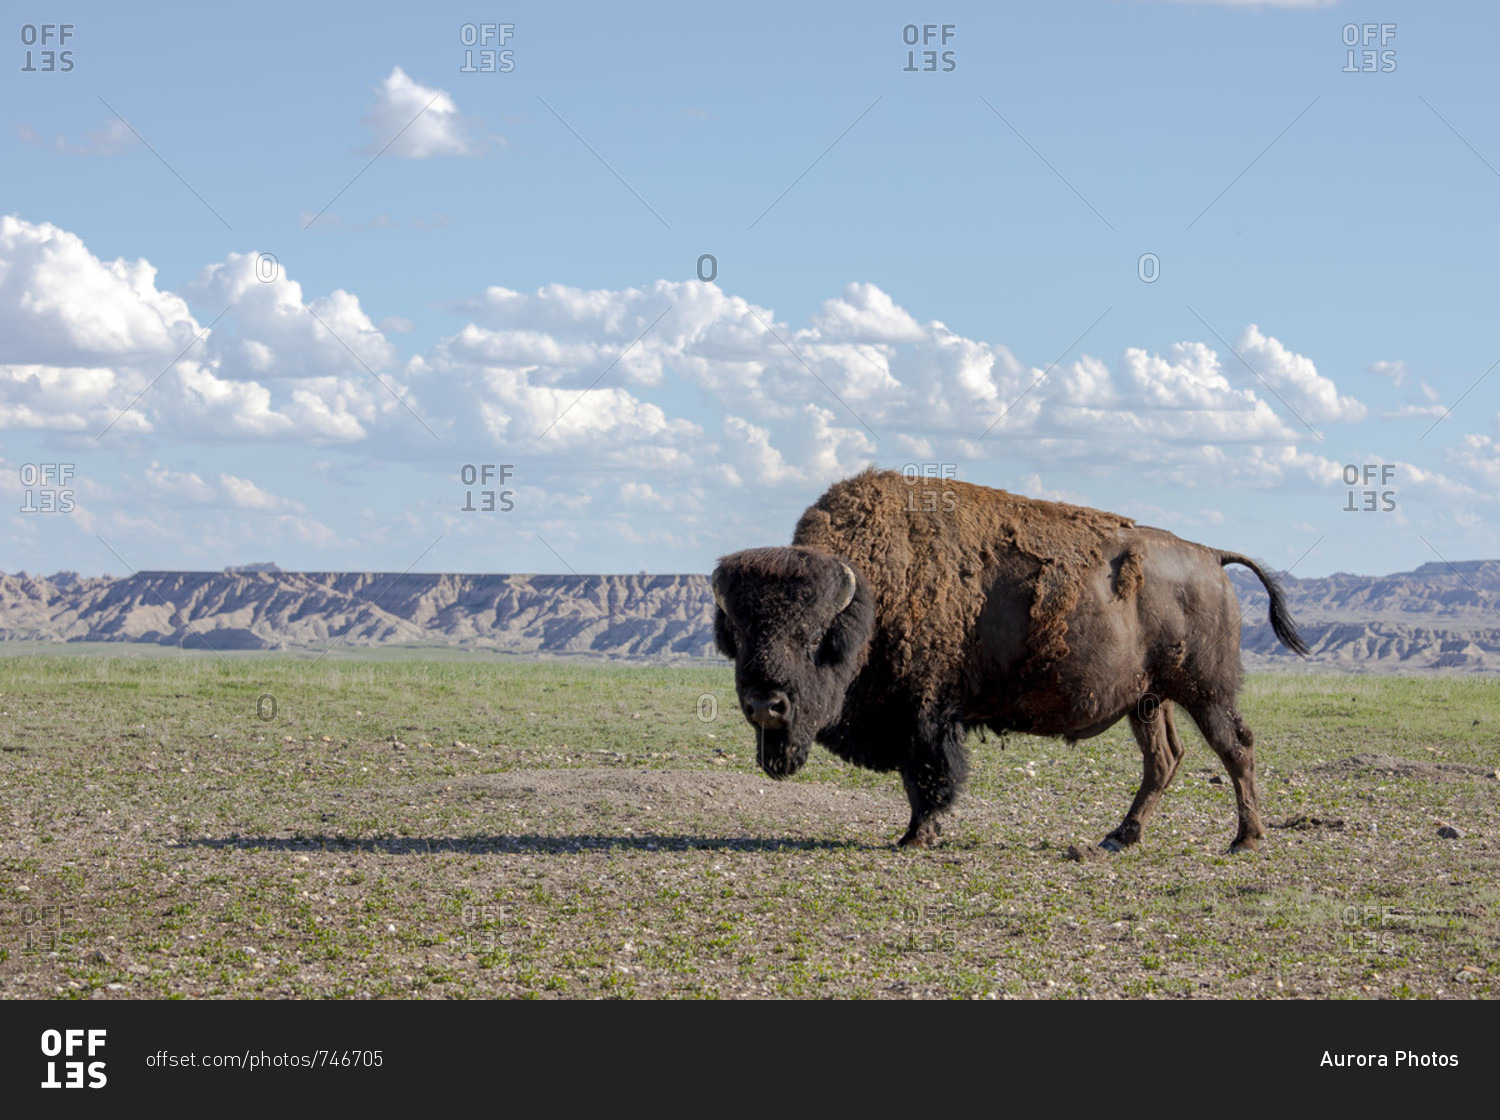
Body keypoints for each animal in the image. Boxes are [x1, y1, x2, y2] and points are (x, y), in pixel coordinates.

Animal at [711, 469, 1309, 852]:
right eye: (737, 633)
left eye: (813, 636)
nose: (765, 705)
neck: (872, 595)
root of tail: (1211, 556)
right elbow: (920, 778)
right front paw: (916, 834)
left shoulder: (925, 715)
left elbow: (929, 776)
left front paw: (915, 838)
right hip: (1148, 698)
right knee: (1164, 759)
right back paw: (1119, 838)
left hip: (1206, 692)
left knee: (1235, 748)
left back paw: (1245, 840)